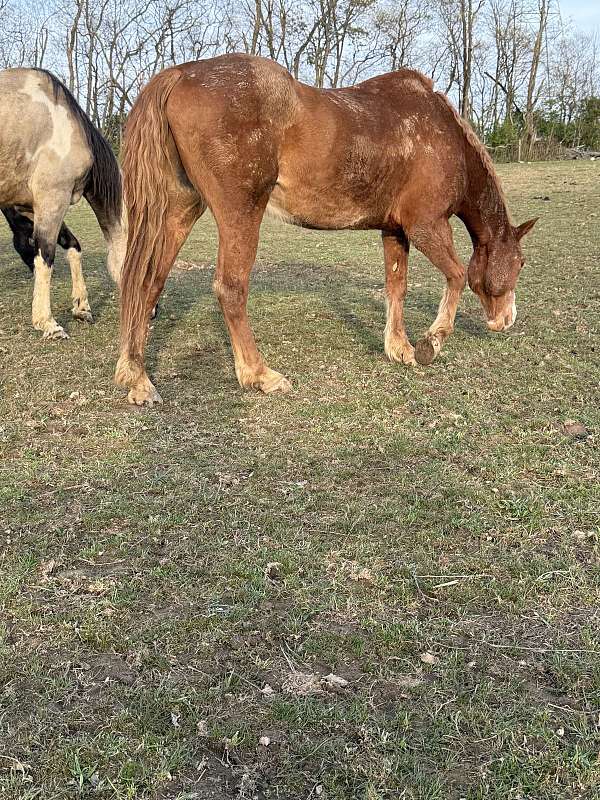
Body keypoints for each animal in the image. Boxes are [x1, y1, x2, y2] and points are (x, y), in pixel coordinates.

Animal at [0, 68, 126, 339]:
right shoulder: (52, 200)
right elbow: (45, 257)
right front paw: (47, 323)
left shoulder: (30, 208)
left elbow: (72, 246)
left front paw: (81, 307)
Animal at [116, 54, 537, 406]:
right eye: (519, 263)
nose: (506, 321)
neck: (439, 133)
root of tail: (182, 73)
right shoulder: (426, 226)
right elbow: (456, 275)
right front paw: (430, 343)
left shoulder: (395, 230)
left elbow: (396, 286)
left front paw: (399, 348)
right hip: (240, 214)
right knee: (230, 288)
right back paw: (259, 374)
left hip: (179, 211)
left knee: (146, 283)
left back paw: (137, 377)